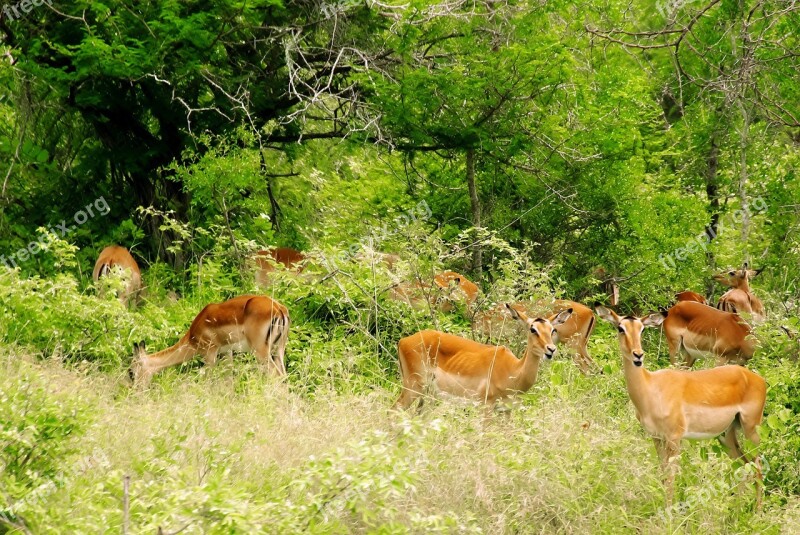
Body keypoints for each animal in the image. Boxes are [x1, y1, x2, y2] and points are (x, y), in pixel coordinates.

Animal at [131, 296, 290, 388]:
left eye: (131, 372)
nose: (135, 391)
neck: (192, 336)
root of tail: (279, 309)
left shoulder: (210, 353)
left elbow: (208, 381)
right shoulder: (226, 353)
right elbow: (228, 381)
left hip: (261, 352)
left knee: (276, 375)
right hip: (279, 350)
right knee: (283, 375)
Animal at [392, 306, 568, 410]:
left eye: (552, 330)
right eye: (533, 329)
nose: (551, 349)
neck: (513, 371)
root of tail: (403, 341)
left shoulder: (507, 410)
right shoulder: (487, 406)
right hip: (413, 387)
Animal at [596, 306, 764, 506]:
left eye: (642, 329)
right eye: (620, 328)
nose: (638, 355)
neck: (651, 387)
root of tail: (758, 380)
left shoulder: (674, 439)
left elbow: (670, 479)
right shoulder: (656, 437)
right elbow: (662, 474)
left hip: (750, 430)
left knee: (757, 467)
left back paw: (757, 511)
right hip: (726, 435)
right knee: (743, 466)